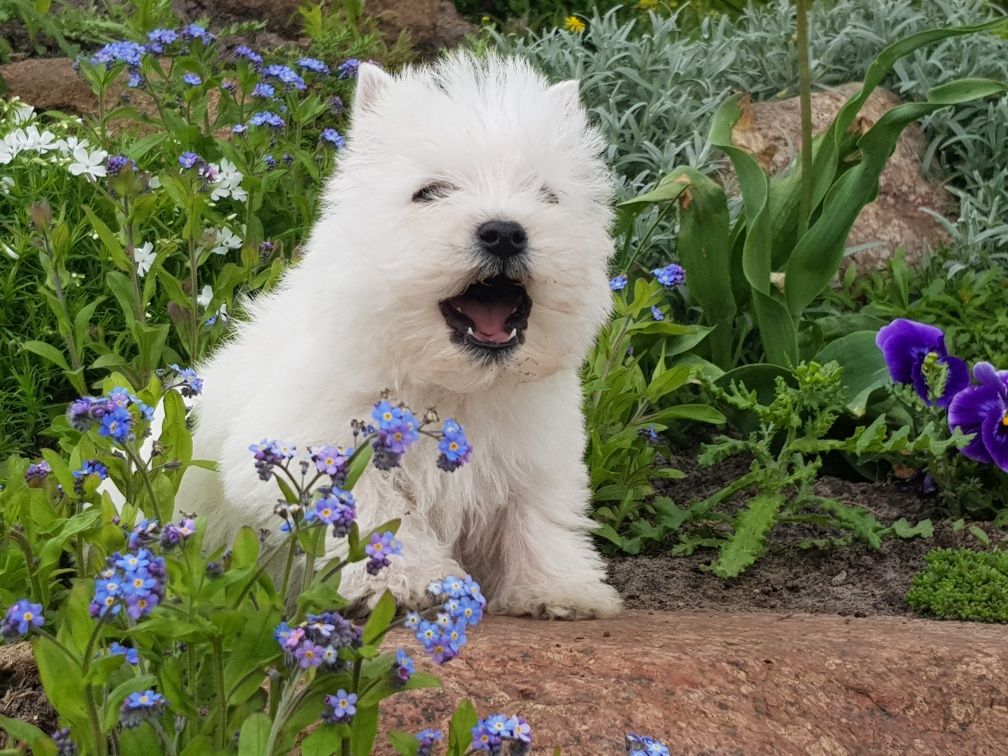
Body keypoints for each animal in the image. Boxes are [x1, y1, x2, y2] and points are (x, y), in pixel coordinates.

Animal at [182, 53, 620, 620]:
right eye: (428, 193)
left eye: (547, 195)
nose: (504, 232)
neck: (451, 382)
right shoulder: (315, 445)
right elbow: (376, 510)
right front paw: (409, 580)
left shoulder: (535, 457)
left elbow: (538, 517)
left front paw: (558, 588)